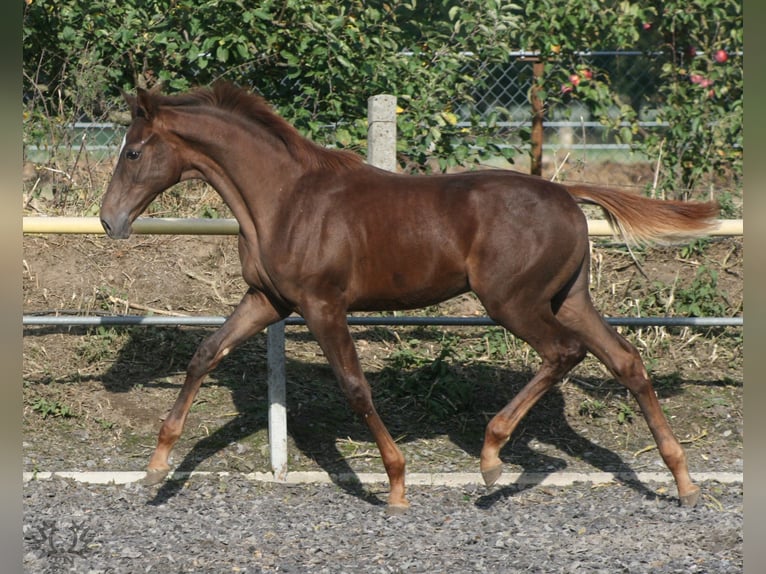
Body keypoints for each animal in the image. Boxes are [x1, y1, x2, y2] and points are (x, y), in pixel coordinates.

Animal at [102, 82, 720, 512]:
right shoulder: (266, 300)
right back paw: (683, 481)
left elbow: (356, 387)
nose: (109, 220)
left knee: (565, 353)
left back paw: (492, 457)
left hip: (513, 303)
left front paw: (397, 486)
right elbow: (205, 354)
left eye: (133, 153)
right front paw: (156, 467)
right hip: (568, 298)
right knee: (626, 361)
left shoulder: (322, 305)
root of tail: (567, 193)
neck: (284, 200)